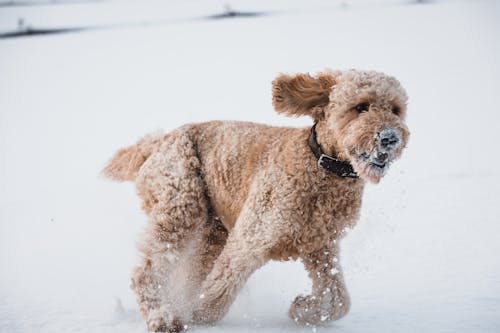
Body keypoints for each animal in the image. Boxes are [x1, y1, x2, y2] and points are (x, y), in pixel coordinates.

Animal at [102, 68, 410, 330]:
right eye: (361, 106)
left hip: (211, 231)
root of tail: (157, 143)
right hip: (182, 204)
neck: (321, 165)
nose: (390, 138)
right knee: (147, 271)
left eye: (396, 110)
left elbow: (338, 300)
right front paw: (197, 315)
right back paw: (164, 317)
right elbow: (219, 289)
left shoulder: (321, 247)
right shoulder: (252, 236)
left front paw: (303, 310)